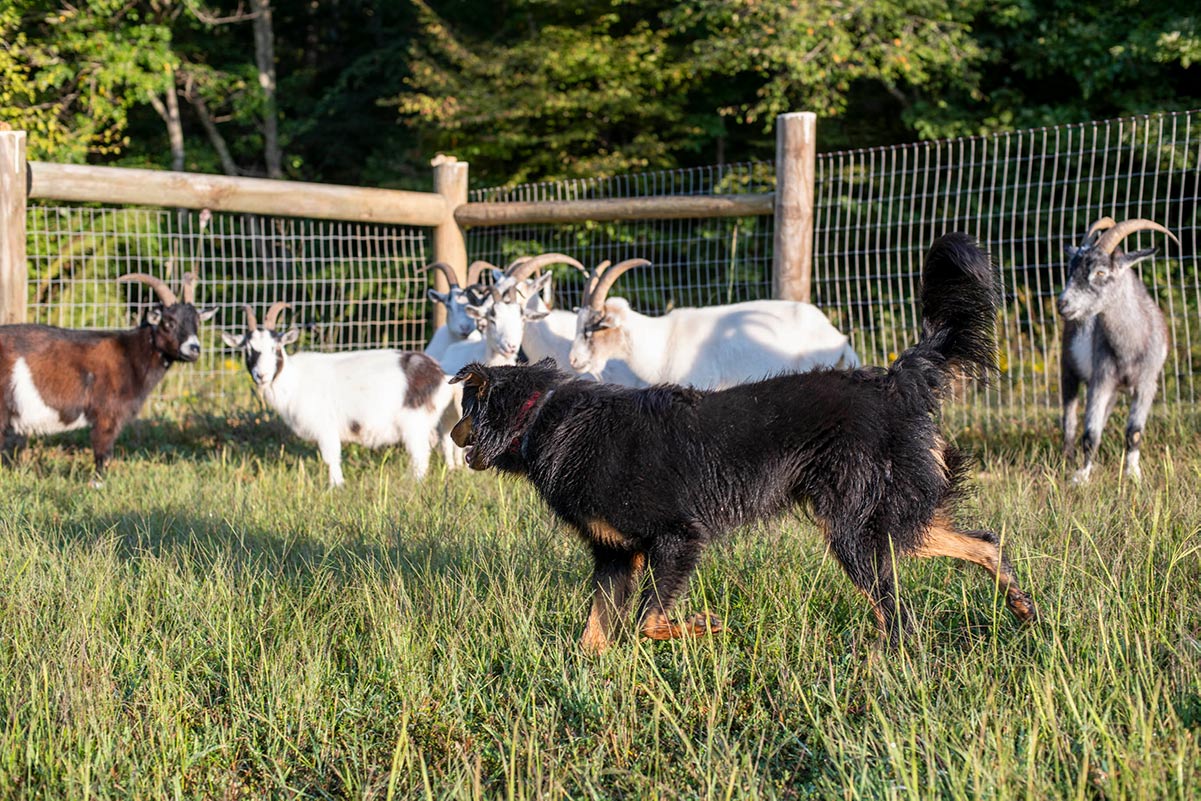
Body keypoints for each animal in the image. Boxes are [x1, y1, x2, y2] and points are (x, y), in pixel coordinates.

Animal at [0, 271, 217, 481]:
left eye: (197, 323)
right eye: (169, 322)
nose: (194, 348)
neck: (130, 354)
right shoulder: (106, 414)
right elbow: (102, 453)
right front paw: (98, 484)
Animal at [222, 303, 457, 486]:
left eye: (275, 348)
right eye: (248, 349)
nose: (261, 375)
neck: (293, 380)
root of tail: (441, 374)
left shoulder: (325, 426)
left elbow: (331, 457)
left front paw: (336, 486)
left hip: (413, 422)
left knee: (420, 455)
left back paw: (412, 483)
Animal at [1058, 217, 1179, 483]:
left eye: (1100, 272)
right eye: (1071, 270)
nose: (1063, 303)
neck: (1131, 346)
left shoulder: (1147, 383)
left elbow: (1134, 431)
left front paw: (1133, 474)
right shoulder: (1101, 380)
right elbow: (1090, 433)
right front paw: (1081, 477)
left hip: (1113, 391)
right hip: (1068, 370)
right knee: (1070, 421)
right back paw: (1066, 460)